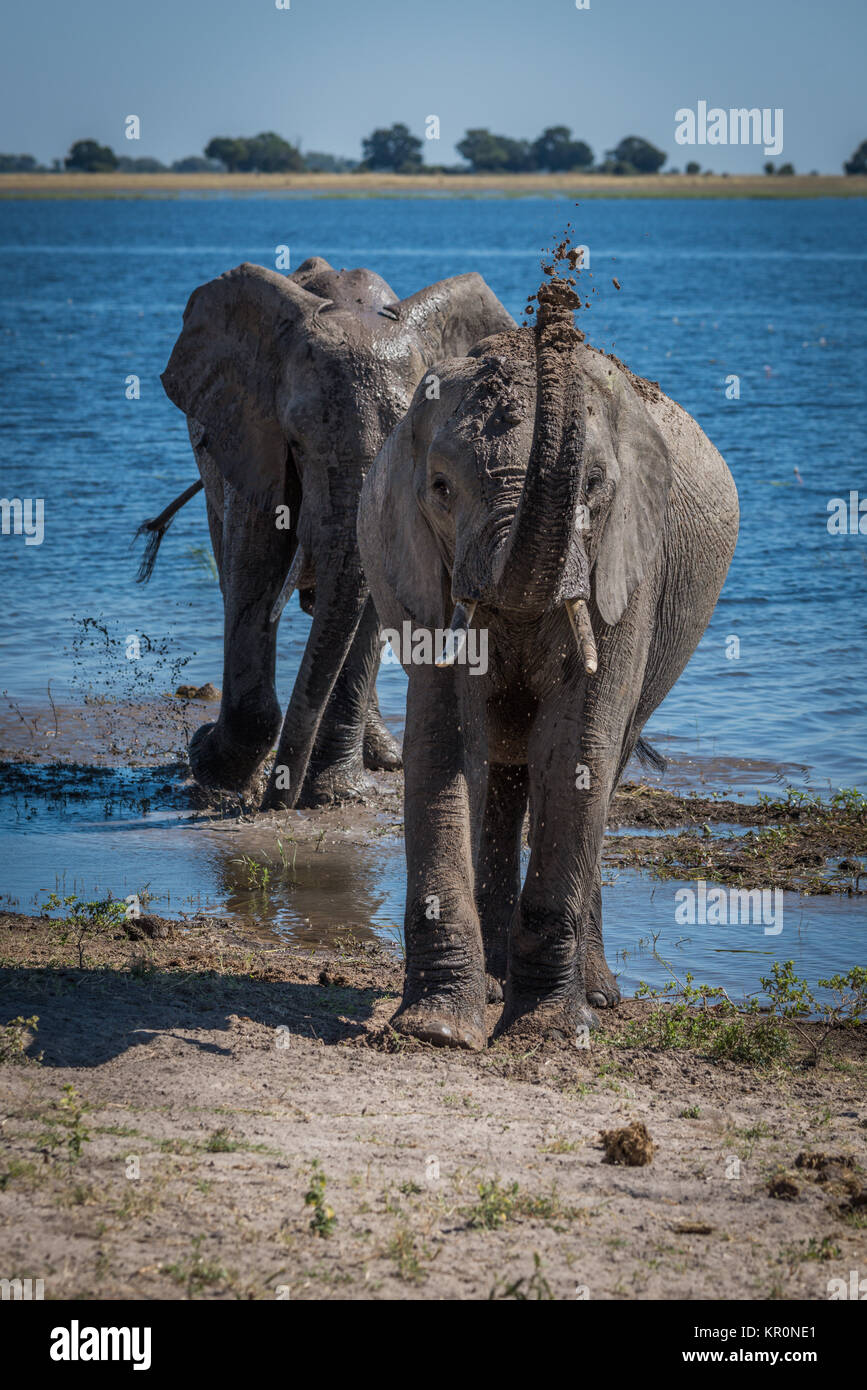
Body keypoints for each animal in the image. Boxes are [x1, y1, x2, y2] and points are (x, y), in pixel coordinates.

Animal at [138, 255, 511, 811]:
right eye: (296, 440)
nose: (274, 802)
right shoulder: (256, 431)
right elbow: (255, 571)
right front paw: (214, 773)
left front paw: (333, 793)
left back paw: (383, 758)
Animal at [358, 296, 739, 1050]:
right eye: (440, 489)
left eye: (594, 487)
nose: (555, 307)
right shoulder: (422, 570)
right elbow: (442, 739)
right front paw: (437, 1031)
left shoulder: (626, 569)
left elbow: (575, 748)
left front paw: (546, 1033)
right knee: (503, 778)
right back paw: (495, 985)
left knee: (599, 766)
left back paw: (593, 994)